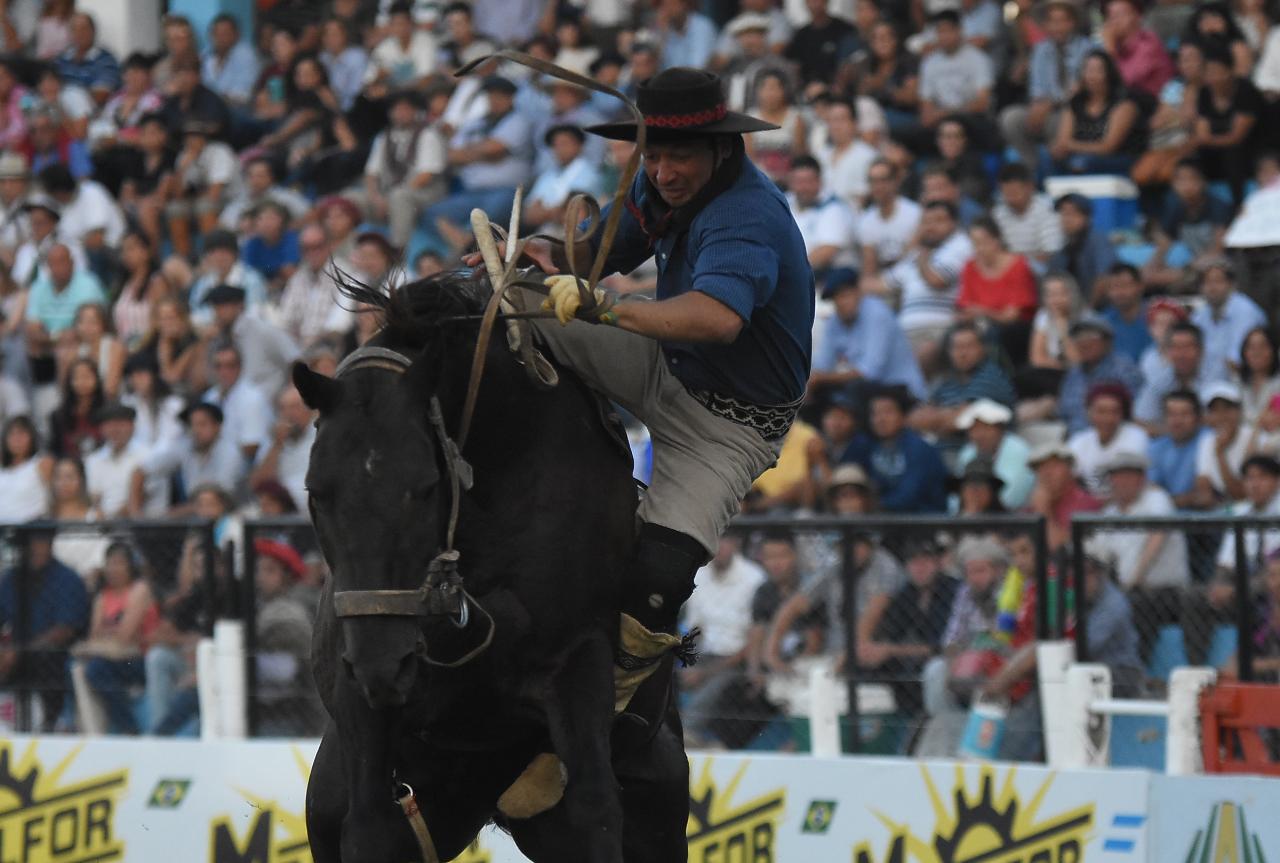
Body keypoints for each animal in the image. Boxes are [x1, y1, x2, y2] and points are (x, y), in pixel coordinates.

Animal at [293, 270, 691, 860]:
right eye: (316, 492)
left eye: (425, 486)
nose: (383, 667)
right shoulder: (360, 701)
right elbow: (366, 823)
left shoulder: (577, 668)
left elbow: (596, 809)